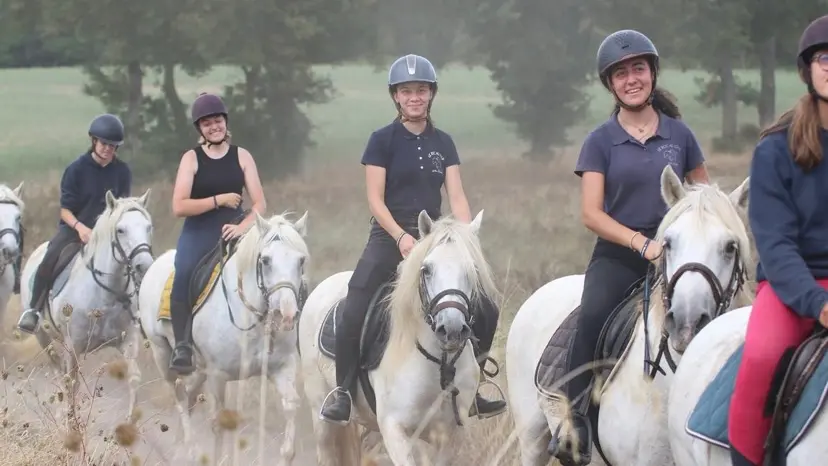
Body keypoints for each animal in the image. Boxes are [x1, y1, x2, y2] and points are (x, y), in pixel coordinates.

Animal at [20, 188, 154, 426]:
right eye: (120, 230)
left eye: (148, 227)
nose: (143, 265)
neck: (106, 293)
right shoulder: (73, 345)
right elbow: (72, 381)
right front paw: (71, 423)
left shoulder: (128, 340)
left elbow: (134, 377)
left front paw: (130, 423)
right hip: (43, 337)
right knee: (58, 371)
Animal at [137, 212, 308, 466]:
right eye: (266, 261)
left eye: (301, 261)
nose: (285, 315)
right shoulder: (218, 375)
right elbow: (218, 424)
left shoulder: (282, 368)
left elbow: (290, 407)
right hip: (163, 354)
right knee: (179, 398)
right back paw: (188, 449)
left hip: (198, 368)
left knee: (188, 396)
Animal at [298, 211, 498, 466]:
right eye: (426, 270)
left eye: (472, 269)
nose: (451, 329)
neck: (438, 363)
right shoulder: (395, 431)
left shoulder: (449, 436)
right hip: (320, 411)